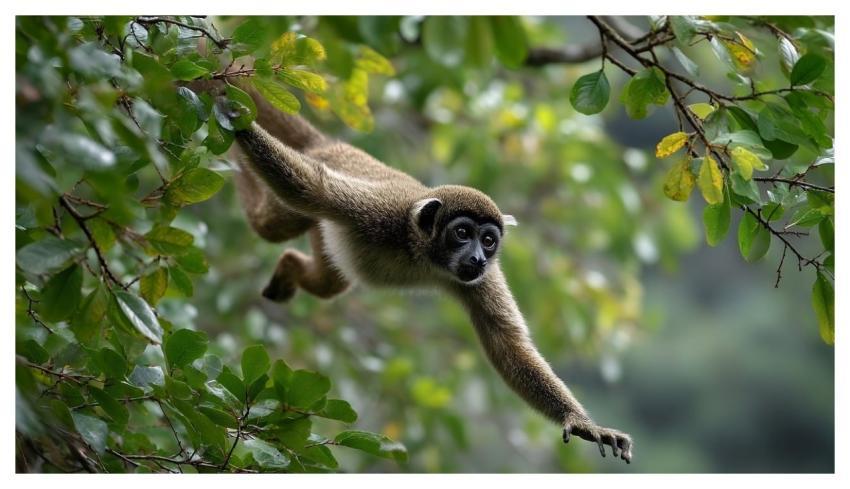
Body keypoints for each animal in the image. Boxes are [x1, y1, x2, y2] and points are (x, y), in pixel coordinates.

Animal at [212, 82, 633, 463]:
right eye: (462, 234)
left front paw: (583, 424)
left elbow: (507, 344)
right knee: (271, 222)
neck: (423, 253)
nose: (478, 257)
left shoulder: (482, 280)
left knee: (329, 281)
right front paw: (236, 120)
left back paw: (287, 269)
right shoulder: (377, 212)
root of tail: (333, 145)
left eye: (488, 240)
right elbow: (311, 186)